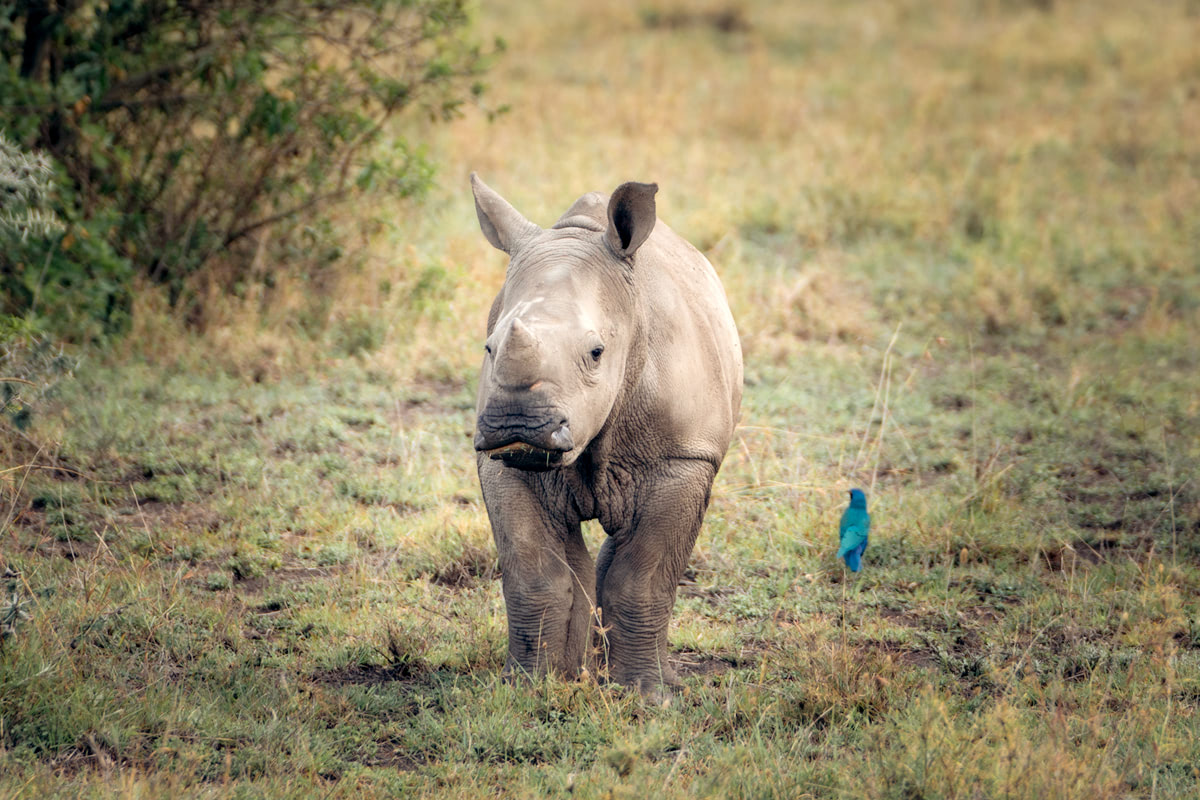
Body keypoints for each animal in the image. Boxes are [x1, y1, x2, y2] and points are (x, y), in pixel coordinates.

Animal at [470, 175, 739, 695]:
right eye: (489, 348)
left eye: (596, 353)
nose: (517, 424)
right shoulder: (500, 462)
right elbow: (533, 573)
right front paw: (528, 687)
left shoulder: (686, 458)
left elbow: (644, 578)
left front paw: (645, 696)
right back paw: (579, 673)